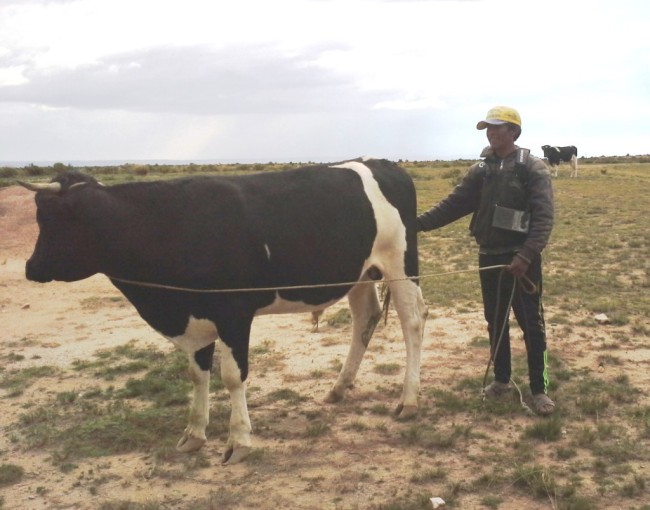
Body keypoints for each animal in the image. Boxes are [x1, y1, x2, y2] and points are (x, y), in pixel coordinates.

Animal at [19, 157, 426, 464]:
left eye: (49, 220)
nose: (30, 267)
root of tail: (382, 164)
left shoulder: (234, 313)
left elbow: (232, 376)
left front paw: (238, 441)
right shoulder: (194, 317)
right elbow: (198, 374)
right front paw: (194, 434)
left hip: (400, 264)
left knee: (412, 322)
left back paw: (408, 400)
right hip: (361, 274)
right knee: (365, 319)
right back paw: (339, 388)